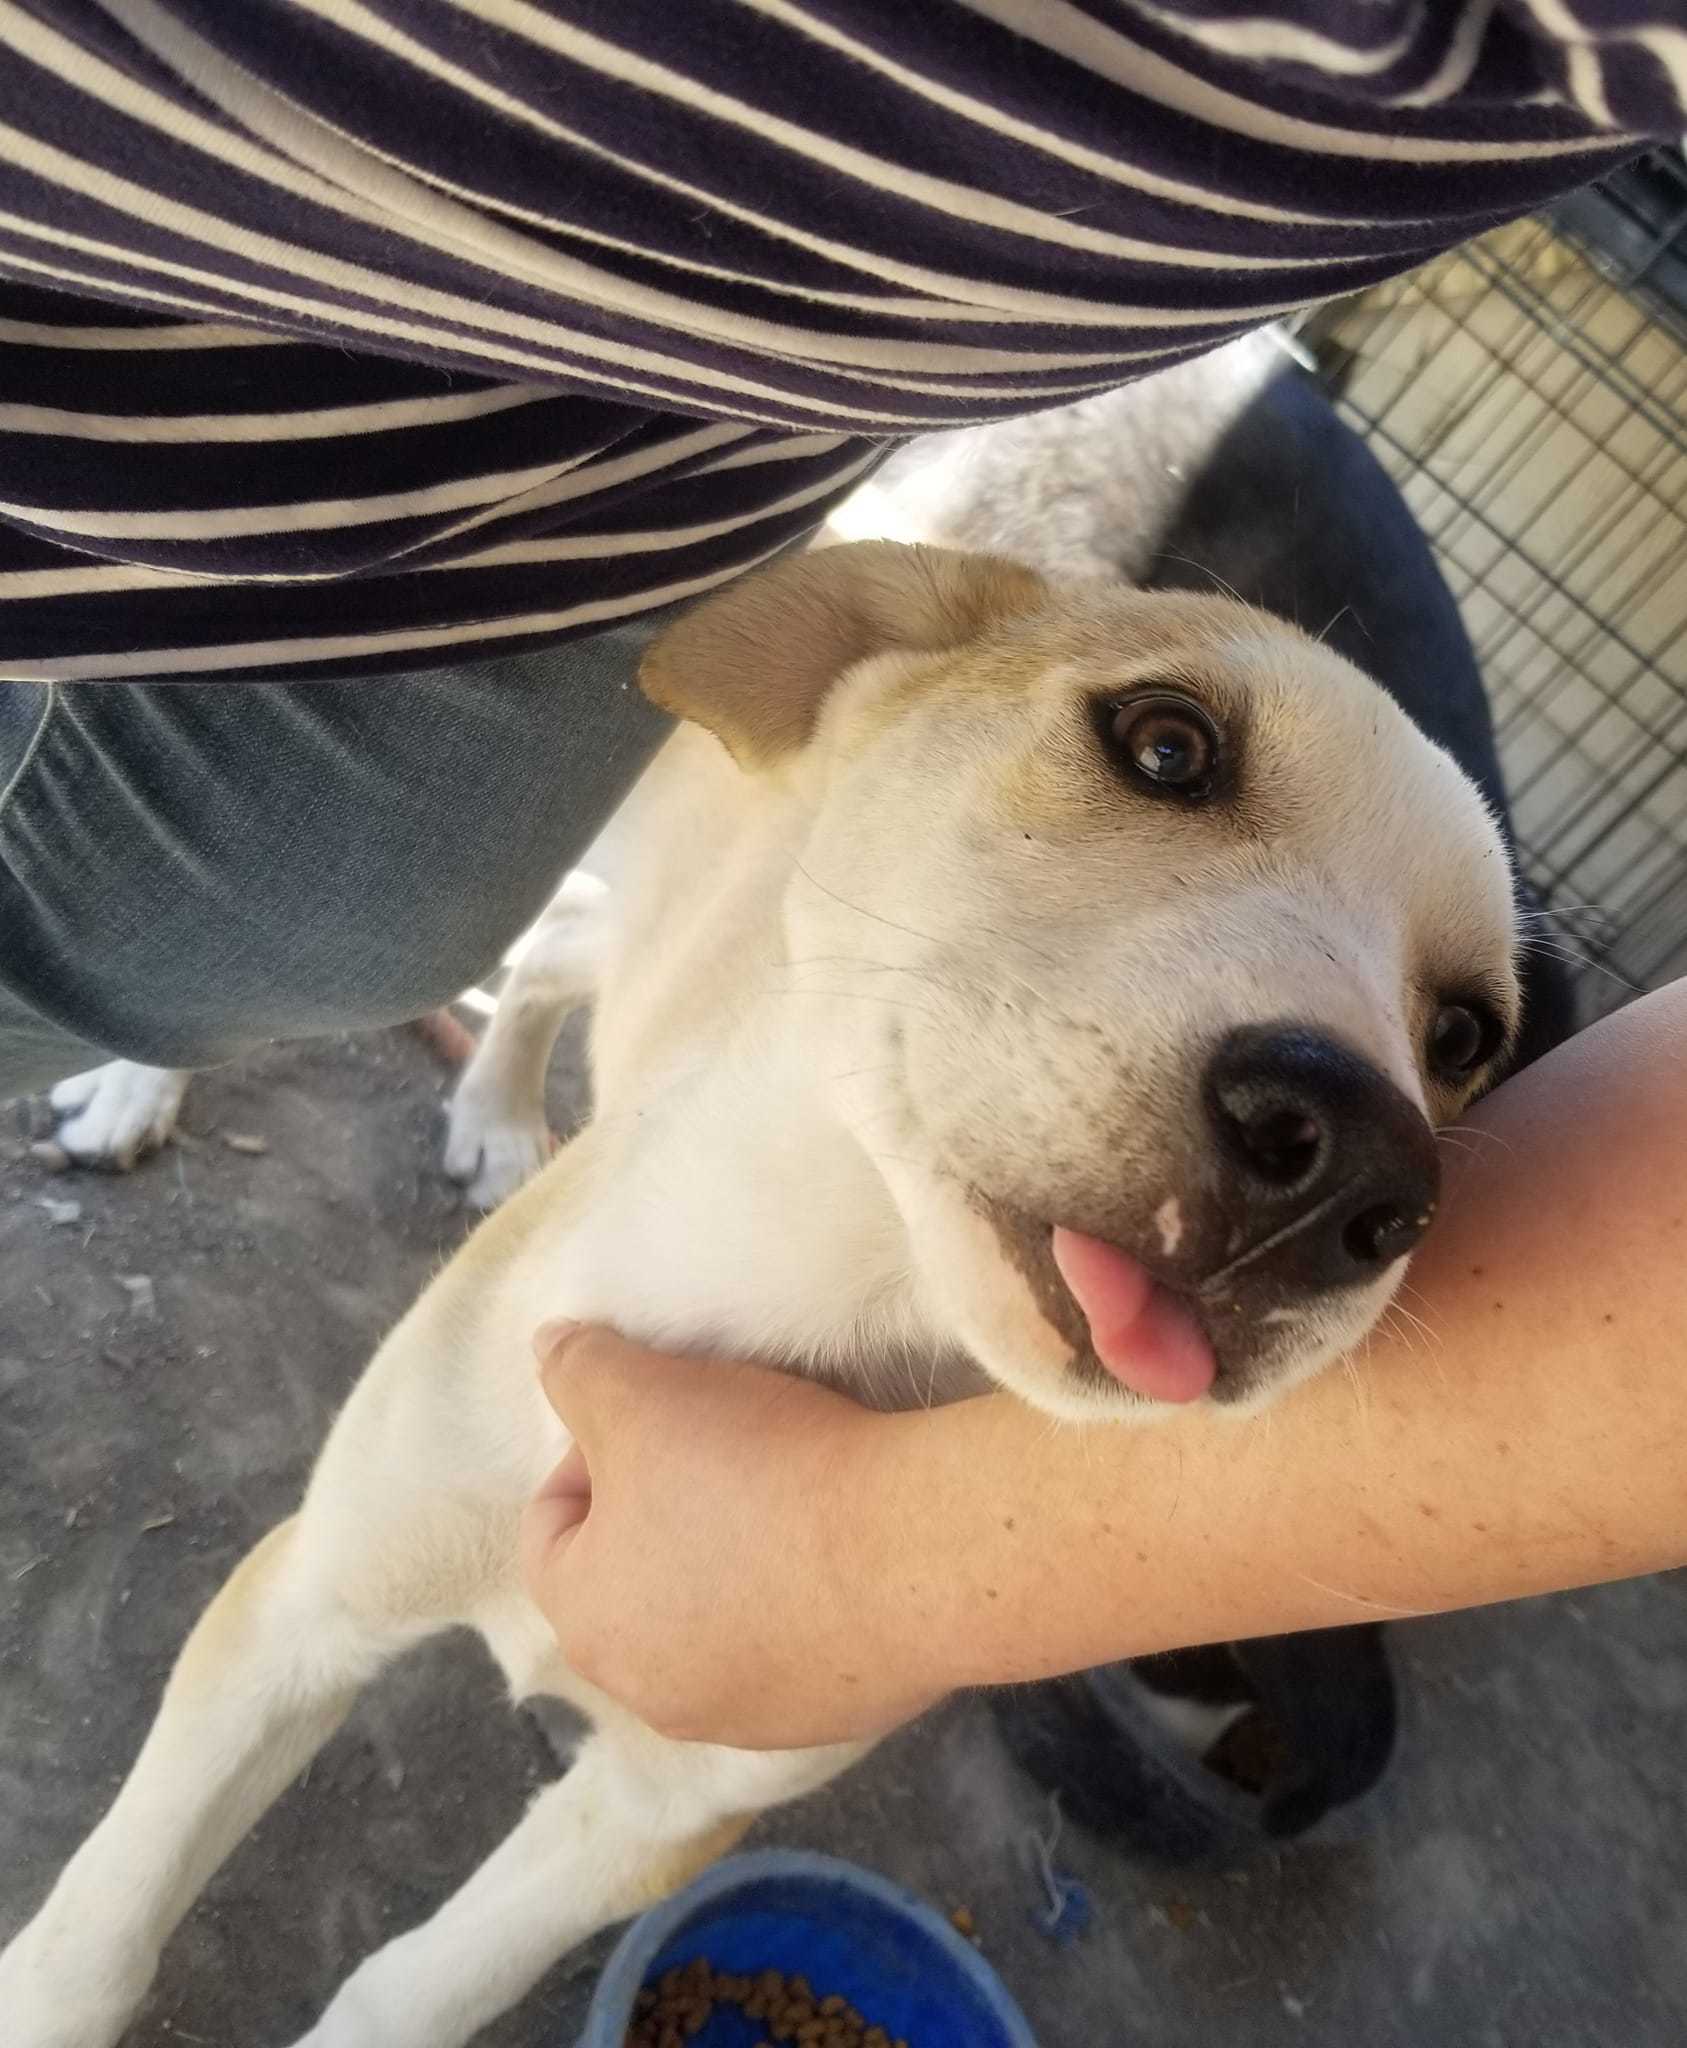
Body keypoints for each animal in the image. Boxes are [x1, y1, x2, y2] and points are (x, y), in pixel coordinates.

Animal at [0, 544, 1523, 2048]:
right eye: (1166, 744)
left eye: (1463, 1035)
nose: (1359, 1174)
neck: (790, 1289)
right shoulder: (297, 1607)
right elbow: (99, 1931)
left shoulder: (651, 1817)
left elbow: (409, 1992)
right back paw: (142, 1091)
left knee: (555, 955)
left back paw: (495, 1115)